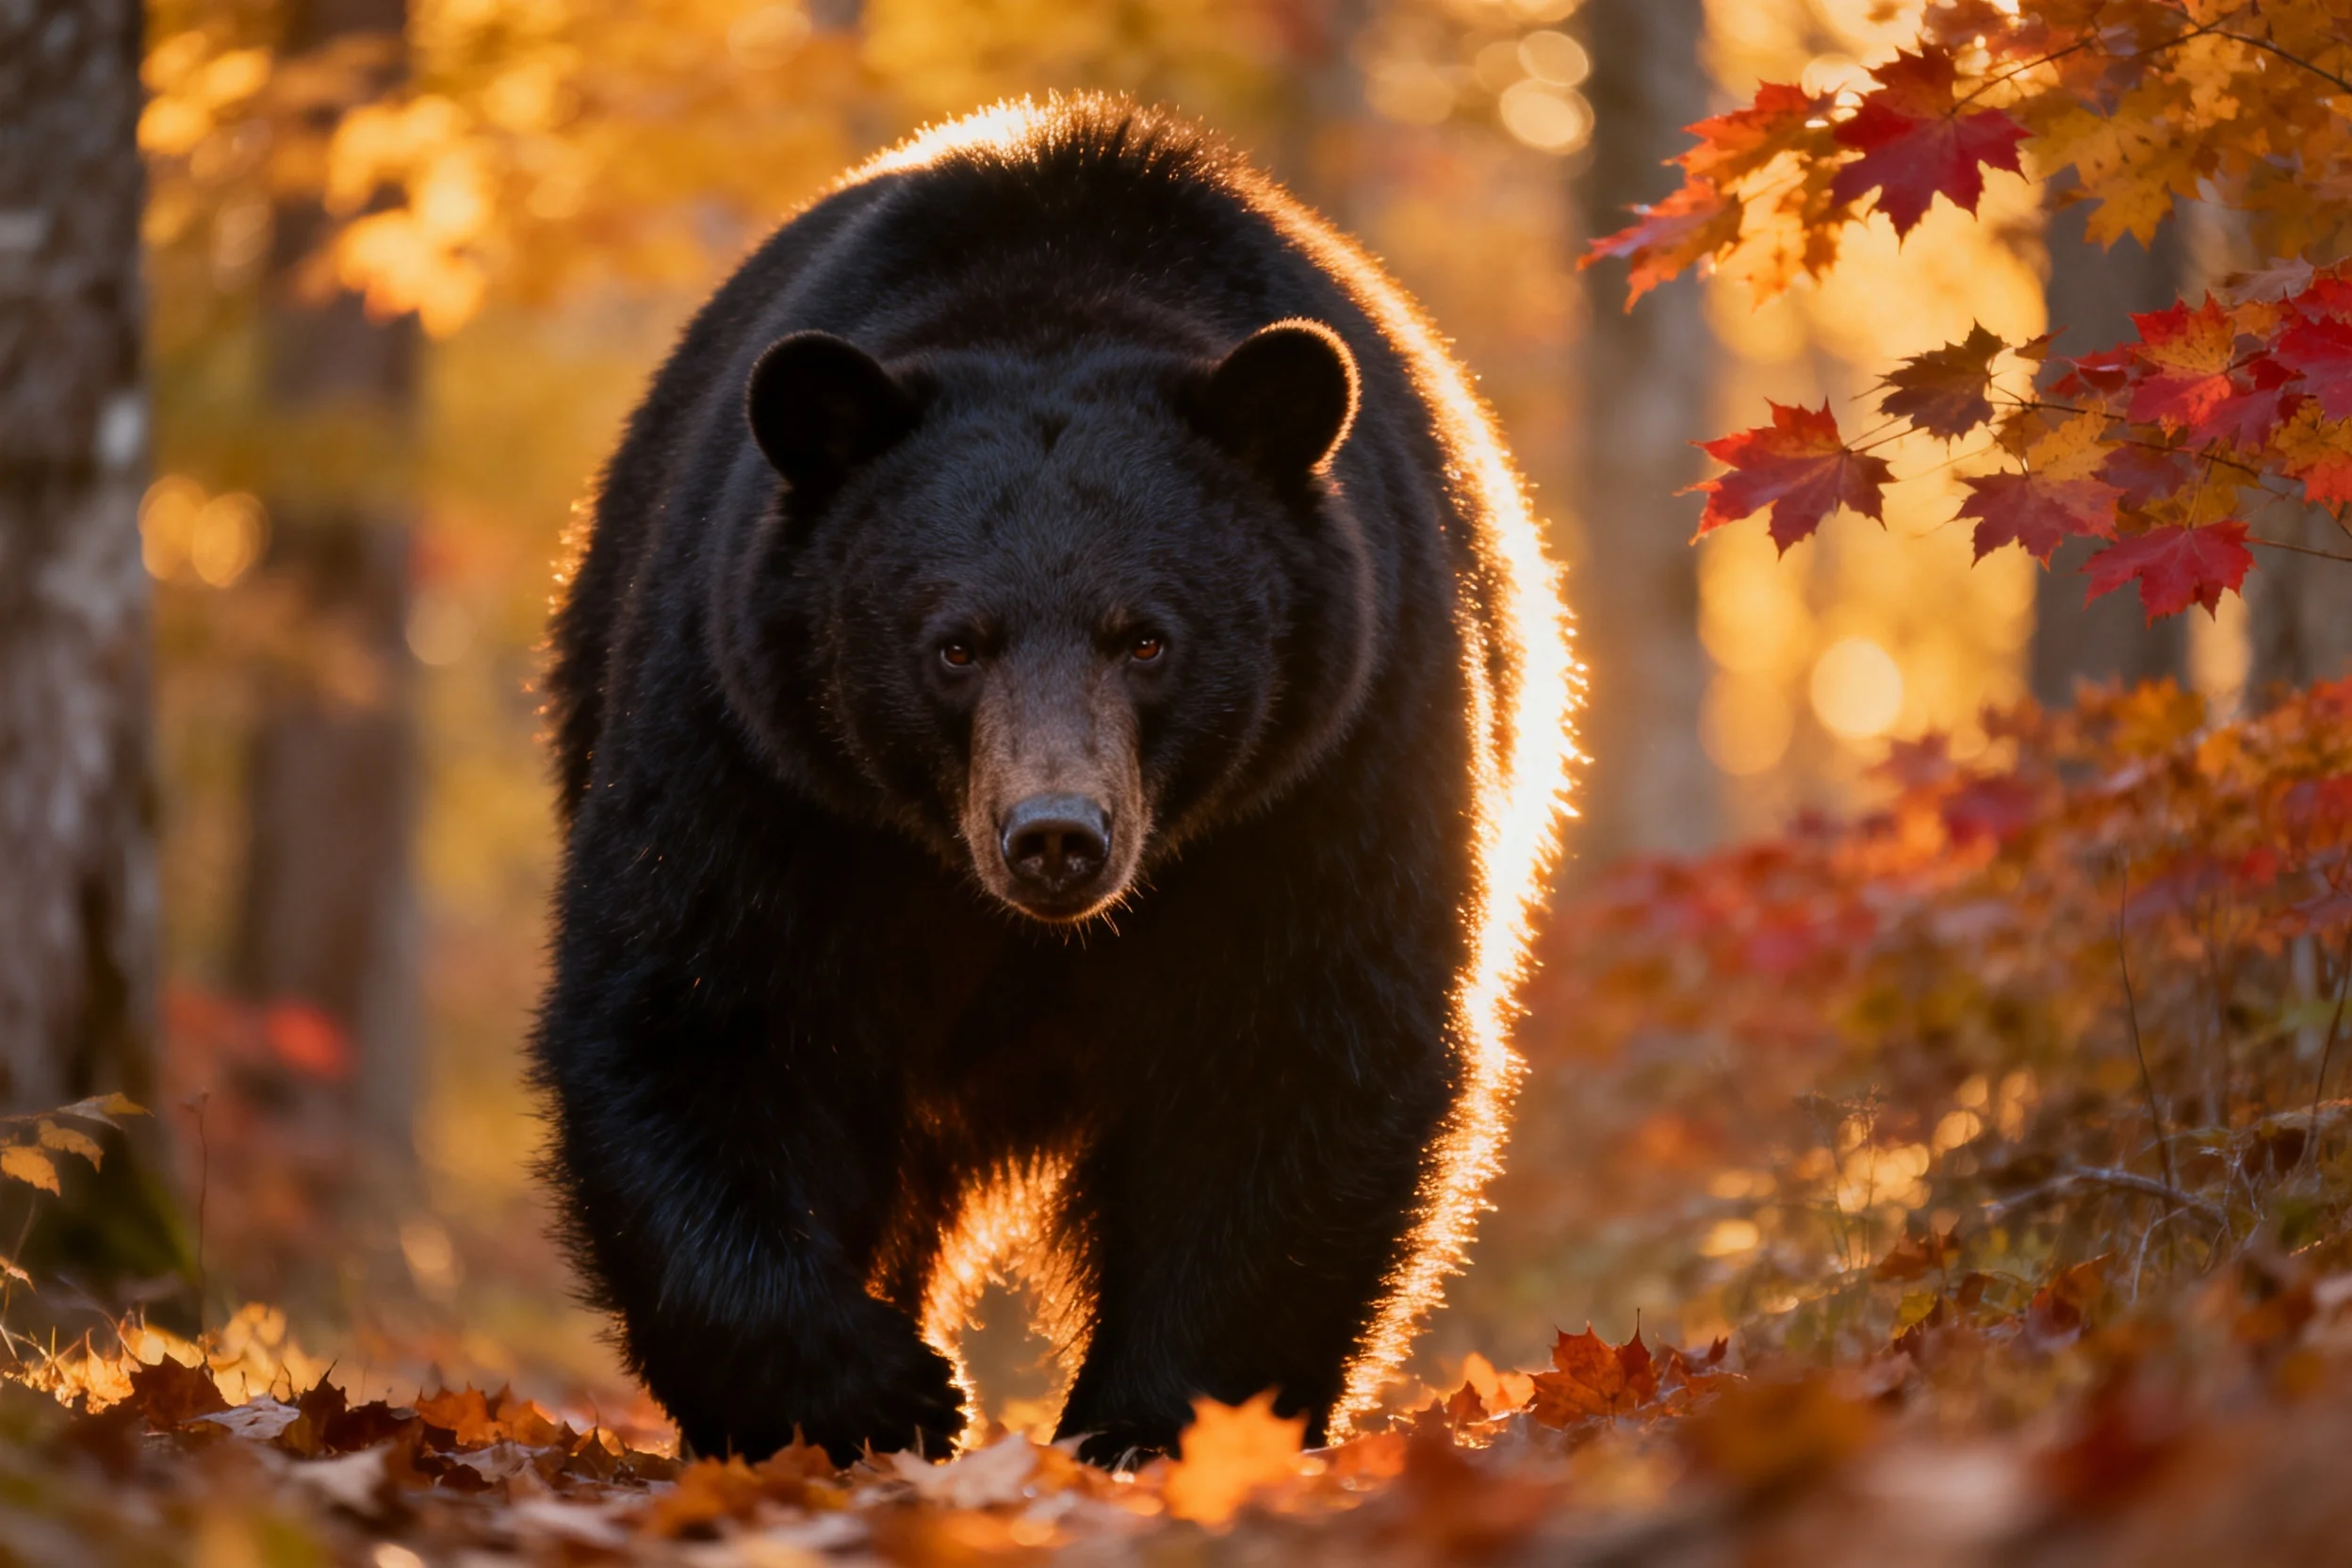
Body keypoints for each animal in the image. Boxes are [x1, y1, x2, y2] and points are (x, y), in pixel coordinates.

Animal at [533, 95, 1575, 1468]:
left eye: (1148, 638)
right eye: (954, 644)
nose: (1055, 836)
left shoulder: (1327, 767)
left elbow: (1300, 1048)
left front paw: (1155, 1419)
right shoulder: (764, 763)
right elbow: (704, 1011)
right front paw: (871, 1390)